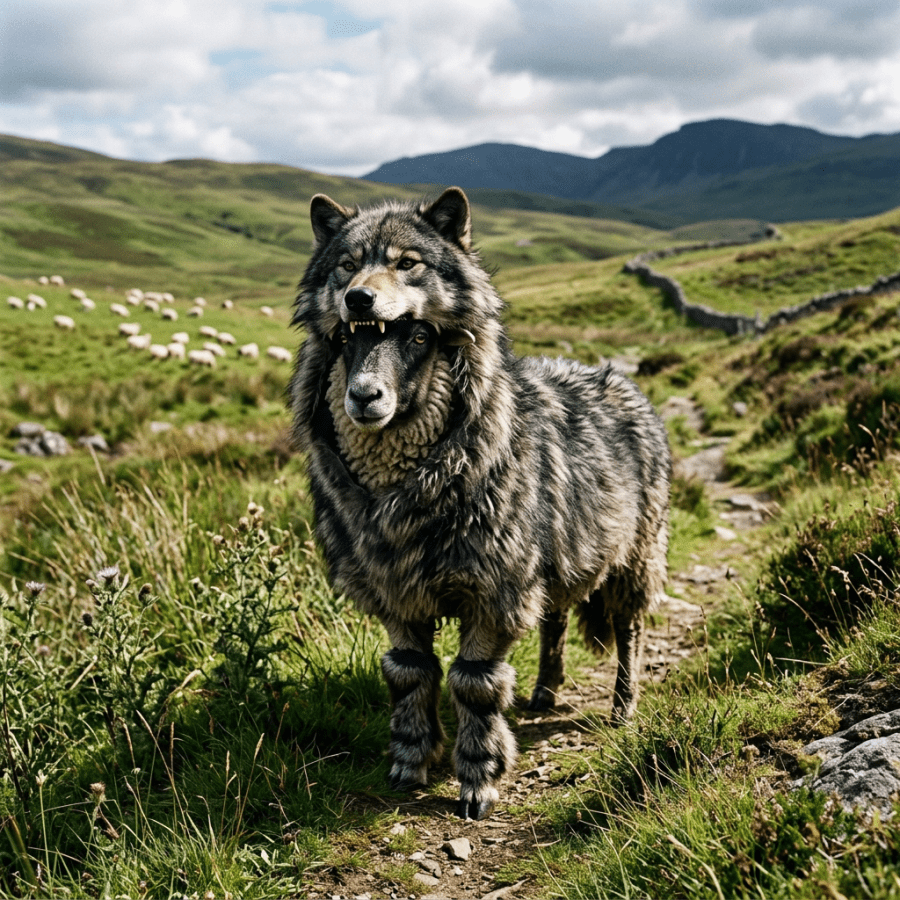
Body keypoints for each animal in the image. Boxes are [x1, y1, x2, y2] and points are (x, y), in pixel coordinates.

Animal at [289, 187, 671, 820]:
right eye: (346, 265)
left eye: (419, 338)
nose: (364, 397)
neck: (409, 490)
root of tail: (618, 379)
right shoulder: (395, 589)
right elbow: (408, 673)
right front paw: (411, 761)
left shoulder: (495, 588)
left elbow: (474, 682)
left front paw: (478, 776)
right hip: (554, 555)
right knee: (556, 619)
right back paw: (544, 691)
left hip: (633, 559)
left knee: (629, 633)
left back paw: (623, 706)